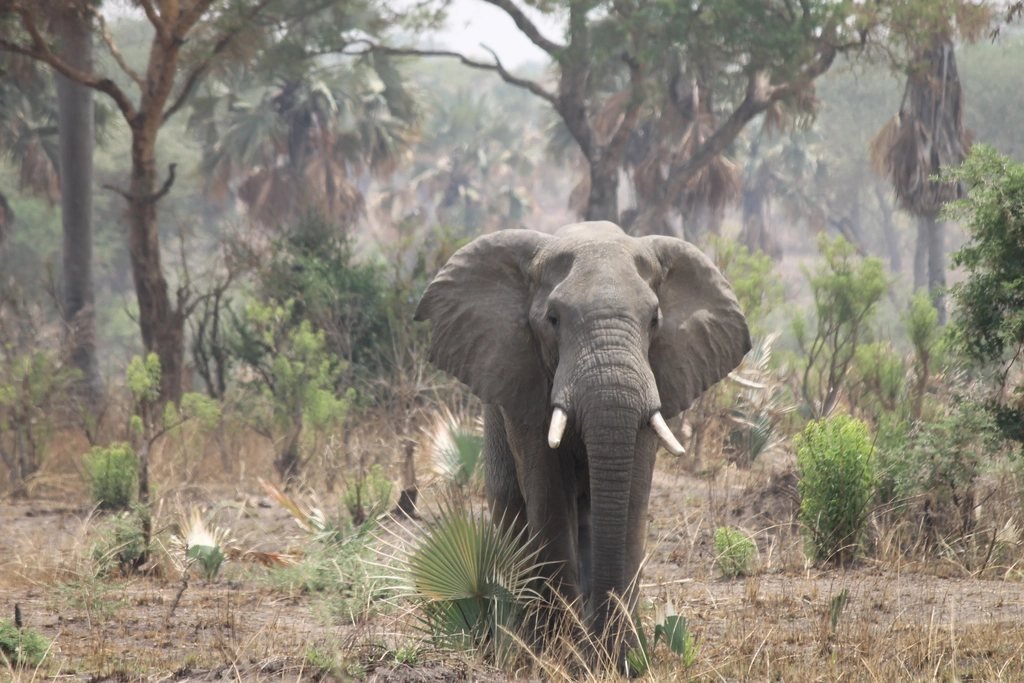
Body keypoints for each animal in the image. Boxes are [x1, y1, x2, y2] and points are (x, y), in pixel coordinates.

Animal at [415, 221, 750, 648]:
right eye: (553, 319)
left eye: (654, 321)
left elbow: (633, 496)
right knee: (510, 502)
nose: (601, 642)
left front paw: (624, 655)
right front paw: (563, 652)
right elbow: (548, 492)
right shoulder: (525, 377)